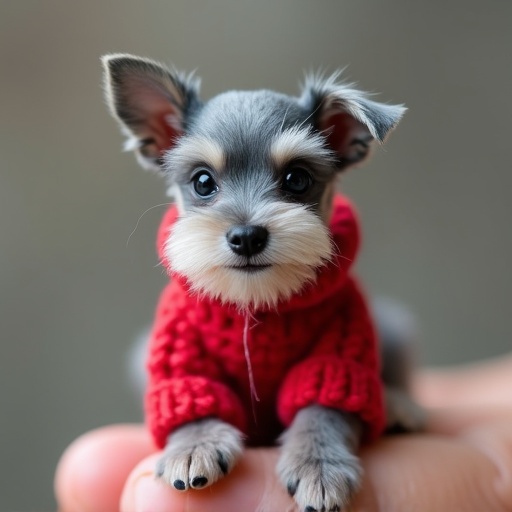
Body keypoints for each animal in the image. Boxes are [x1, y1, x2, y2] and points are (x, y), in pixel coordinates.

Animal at [101, 55, 424, 512]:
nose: (247, 236)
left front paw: (318, 465)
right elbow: (193, 398)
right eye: (203, 182)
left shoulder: (338, 353)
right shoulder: (180, 352)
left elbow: (323, 408)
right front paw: (194, 447)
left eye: (297, 179)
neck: (258, 302)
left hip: (392, 329)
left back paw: (396, 405)